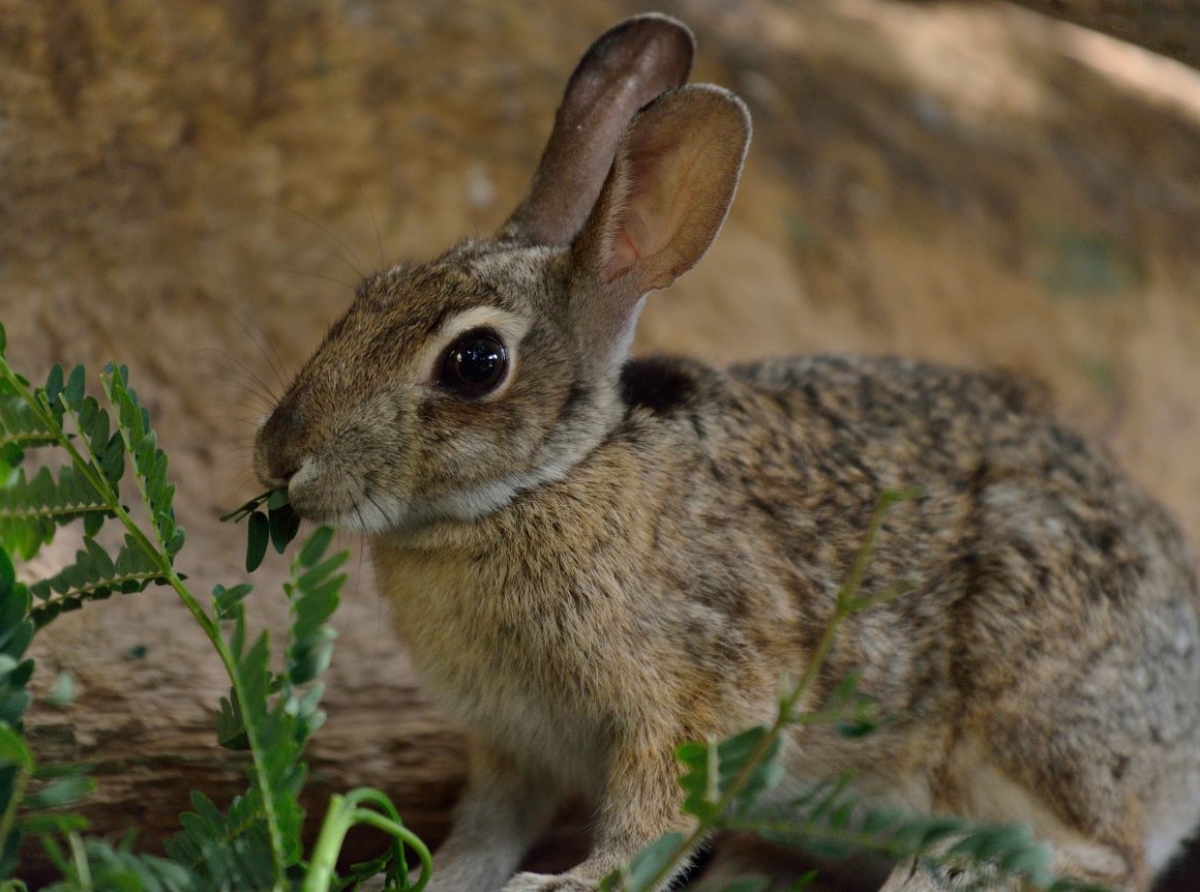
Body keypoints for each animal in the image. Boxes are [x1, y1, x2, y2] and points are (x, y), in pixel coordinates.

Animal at [253, 12, 1200, 892]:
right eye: (370, 295)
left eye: (474, 362)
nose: (280, 457)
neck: (550, 479)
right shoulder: (514, 747)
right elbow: (487, 831)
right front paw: (438, 878)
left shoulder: (690, 707)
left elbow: (653, 820)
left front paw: (565, 883)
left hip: (1027, 719)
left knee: (1112, 858)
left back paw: (955, 866)